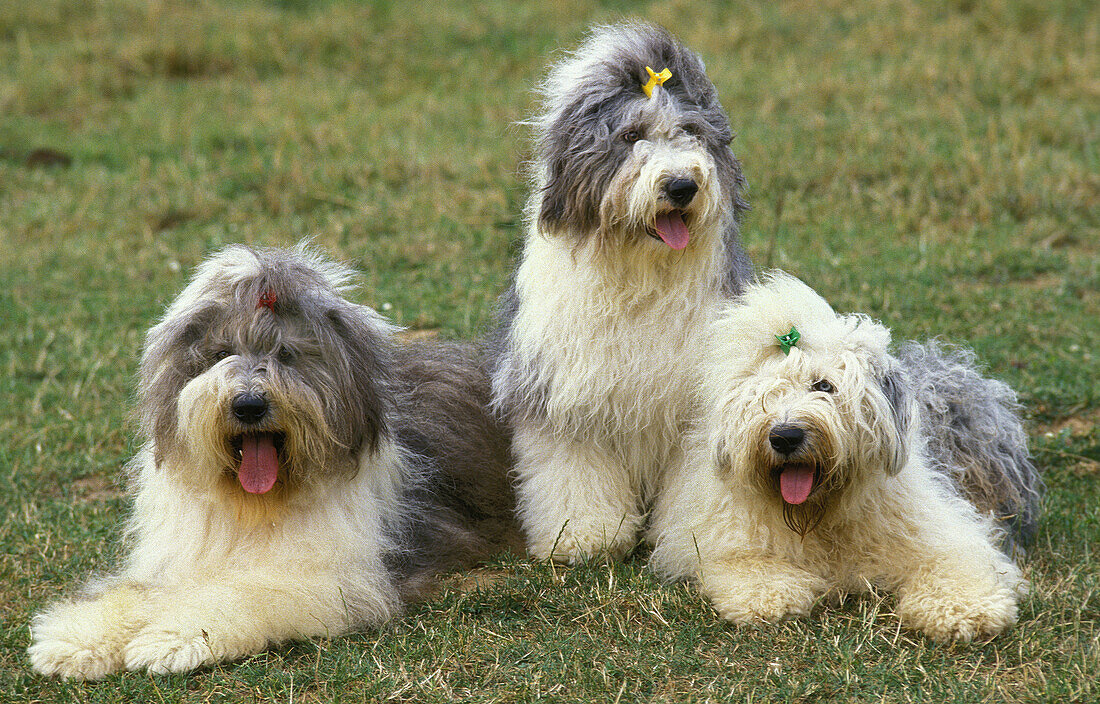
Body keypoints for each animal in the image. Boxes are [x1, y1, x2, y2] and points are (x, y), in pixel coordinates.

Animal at [30, 243, 519, 677]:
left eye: (286, 354)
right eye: (221, 353)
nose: (249, 405)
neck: (256, 505)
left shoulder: (337, 578)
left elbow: (244, 594)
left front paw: (171, 638)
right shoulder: (177, 559)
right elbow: (137, 592)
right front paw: (77, 638)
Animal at [492, 22, 756, 563]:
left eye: (690, 132)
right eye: (631, 136)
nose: (681, 186)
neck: (642, 275)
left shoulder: (697, 407)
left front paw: (691, 540)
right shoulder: (562, 392)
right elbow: (573, 470)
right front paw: (584, 536)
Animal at [646, 275, 1034, 642]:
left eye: (824, 386)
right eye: (762, 393)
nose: (784, 436)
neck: (818, 516)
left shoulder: (937, 531)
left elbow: (954, 562)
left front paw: (965, 610)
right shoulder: (720, 537)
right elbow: (745, 564)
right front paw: (770, 596)